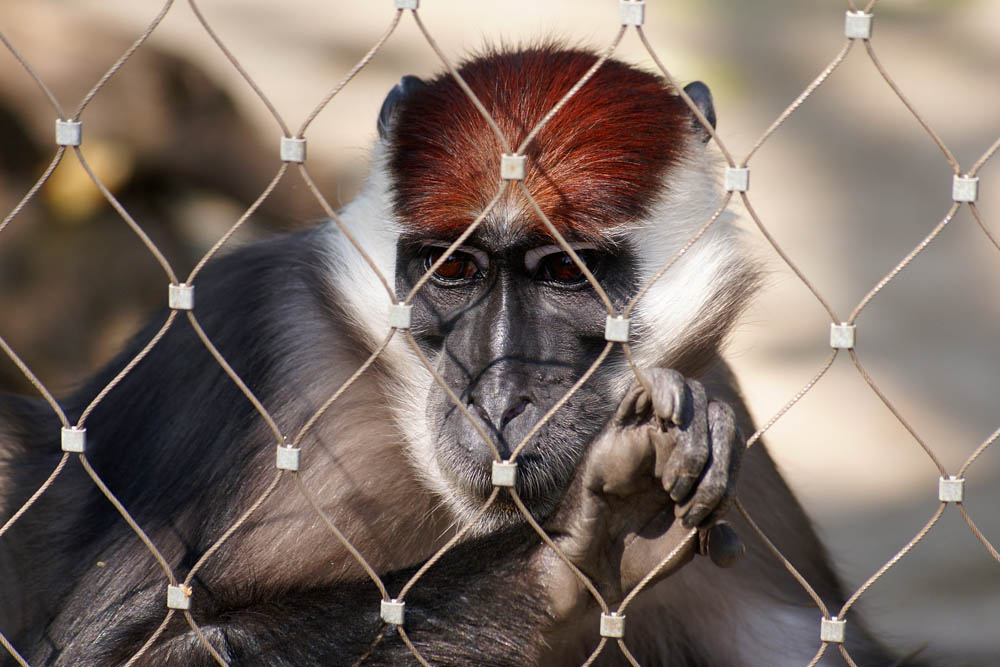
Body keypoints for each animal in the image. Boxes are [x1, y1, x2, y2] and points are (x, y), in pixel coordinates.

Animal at [0, 47, 908, 667]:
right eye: (454, 269)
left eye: (565, 274)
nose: (499, 398)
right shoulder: (245, 341)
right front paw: (571, 554)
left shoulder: (722, 409)